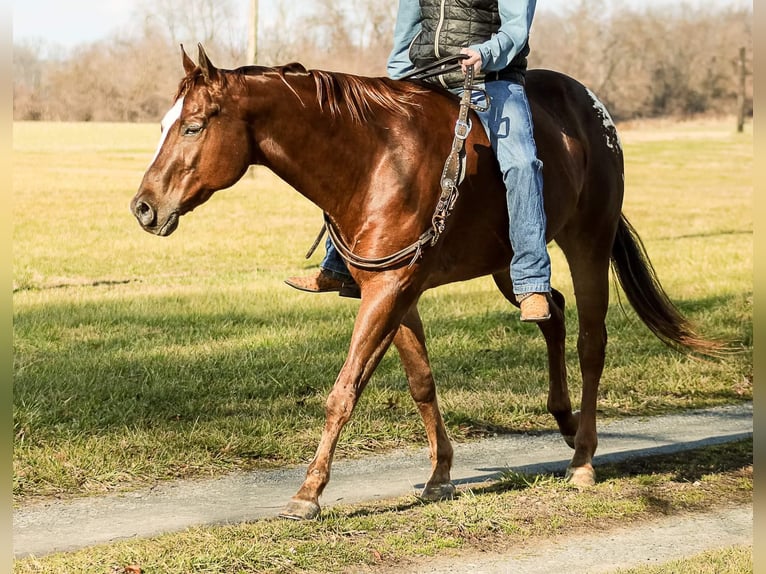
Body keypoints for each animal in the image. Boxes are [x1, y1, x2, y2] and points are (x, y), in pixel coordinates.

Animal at [129, 45, 724, 520]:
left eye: (194, 125)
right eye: (163, 124)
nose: (144, 207)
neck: (373, 162)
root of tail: (595, 115)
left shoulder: (390, 290)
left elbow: (344, 391)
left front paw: (308, 493)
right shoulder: (394, 292)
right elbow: (421, 382)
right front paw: (439, 476)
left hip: (589, 243)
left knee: (590, 342)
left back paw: (582, 459)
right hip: (511, 263)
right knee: (549, 309)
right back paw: (564, 420)